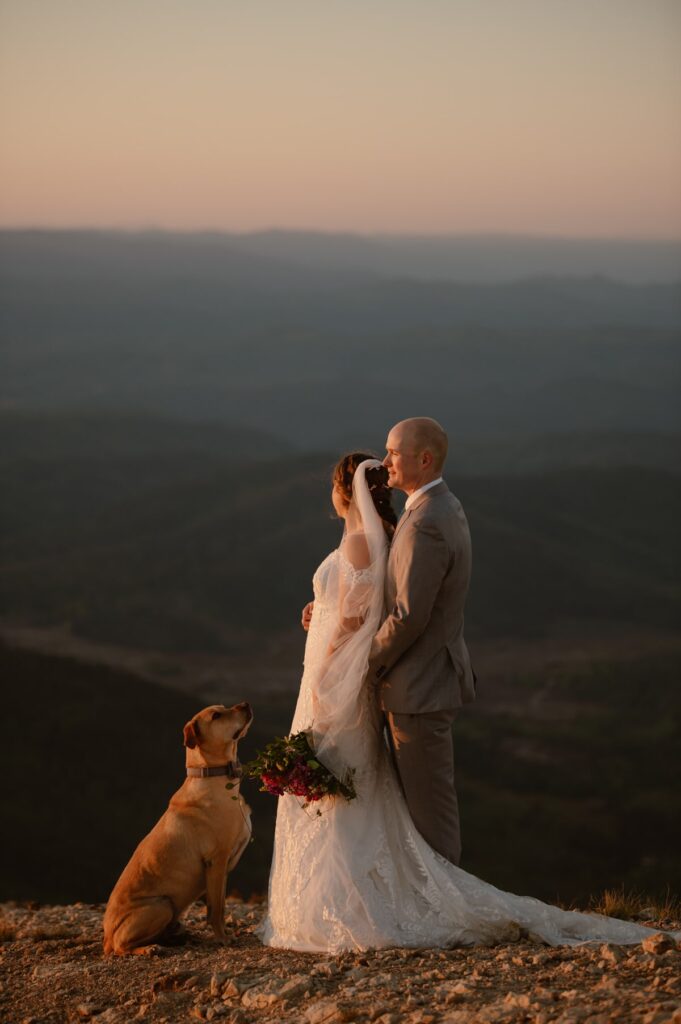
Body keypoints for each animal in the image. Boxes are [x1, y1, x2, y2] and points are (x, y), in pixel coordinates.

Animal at [99, 700, 250, 954]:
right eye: (216, 716)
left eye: (223, 707)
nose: (245, 704)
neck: (211, 777)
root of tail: (106, 938)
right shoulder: (216, 861)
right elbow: (216, 909)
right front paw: (223, 938)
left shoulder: (222, 867)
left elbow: (219, 905)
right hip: (162, 905)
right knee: (122, 947)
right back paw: (149, 949)